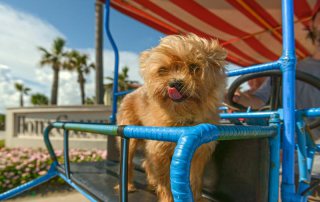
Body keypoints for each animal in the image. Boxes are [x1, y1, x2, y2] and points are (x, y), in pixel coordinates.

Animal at [116, 34, 226, 201]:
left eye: (194, 67)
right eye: (163, 70)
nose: (175, 83)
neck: (183, 116)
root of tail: (130, 93)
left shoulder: (198, 153)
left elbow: (195, 179)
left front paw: (197, 198)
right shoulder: (159, 150)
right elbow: (165, 180)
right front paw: (167, 198)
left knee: (147, 163)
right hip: (131, 139)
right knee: (128, 162)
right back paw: (128, 186)